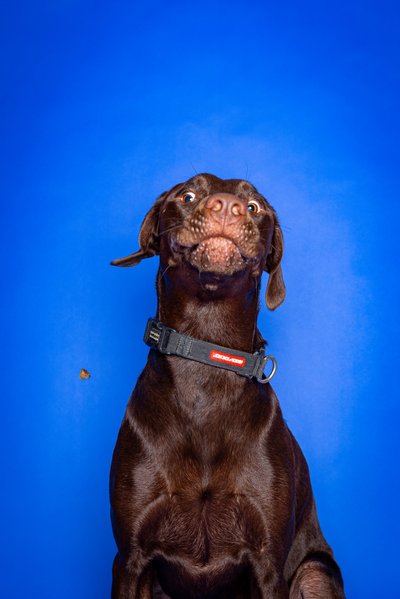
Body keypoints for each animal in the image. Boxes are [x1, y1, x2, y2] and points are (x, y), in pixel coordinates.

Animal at [108, 171, 344, 596]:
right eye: (187, 195)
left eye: (254, 206)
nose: (227, 207)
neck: (207, 352)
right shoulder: (129, 560)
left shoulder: (268, 564)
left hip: (314, 572)